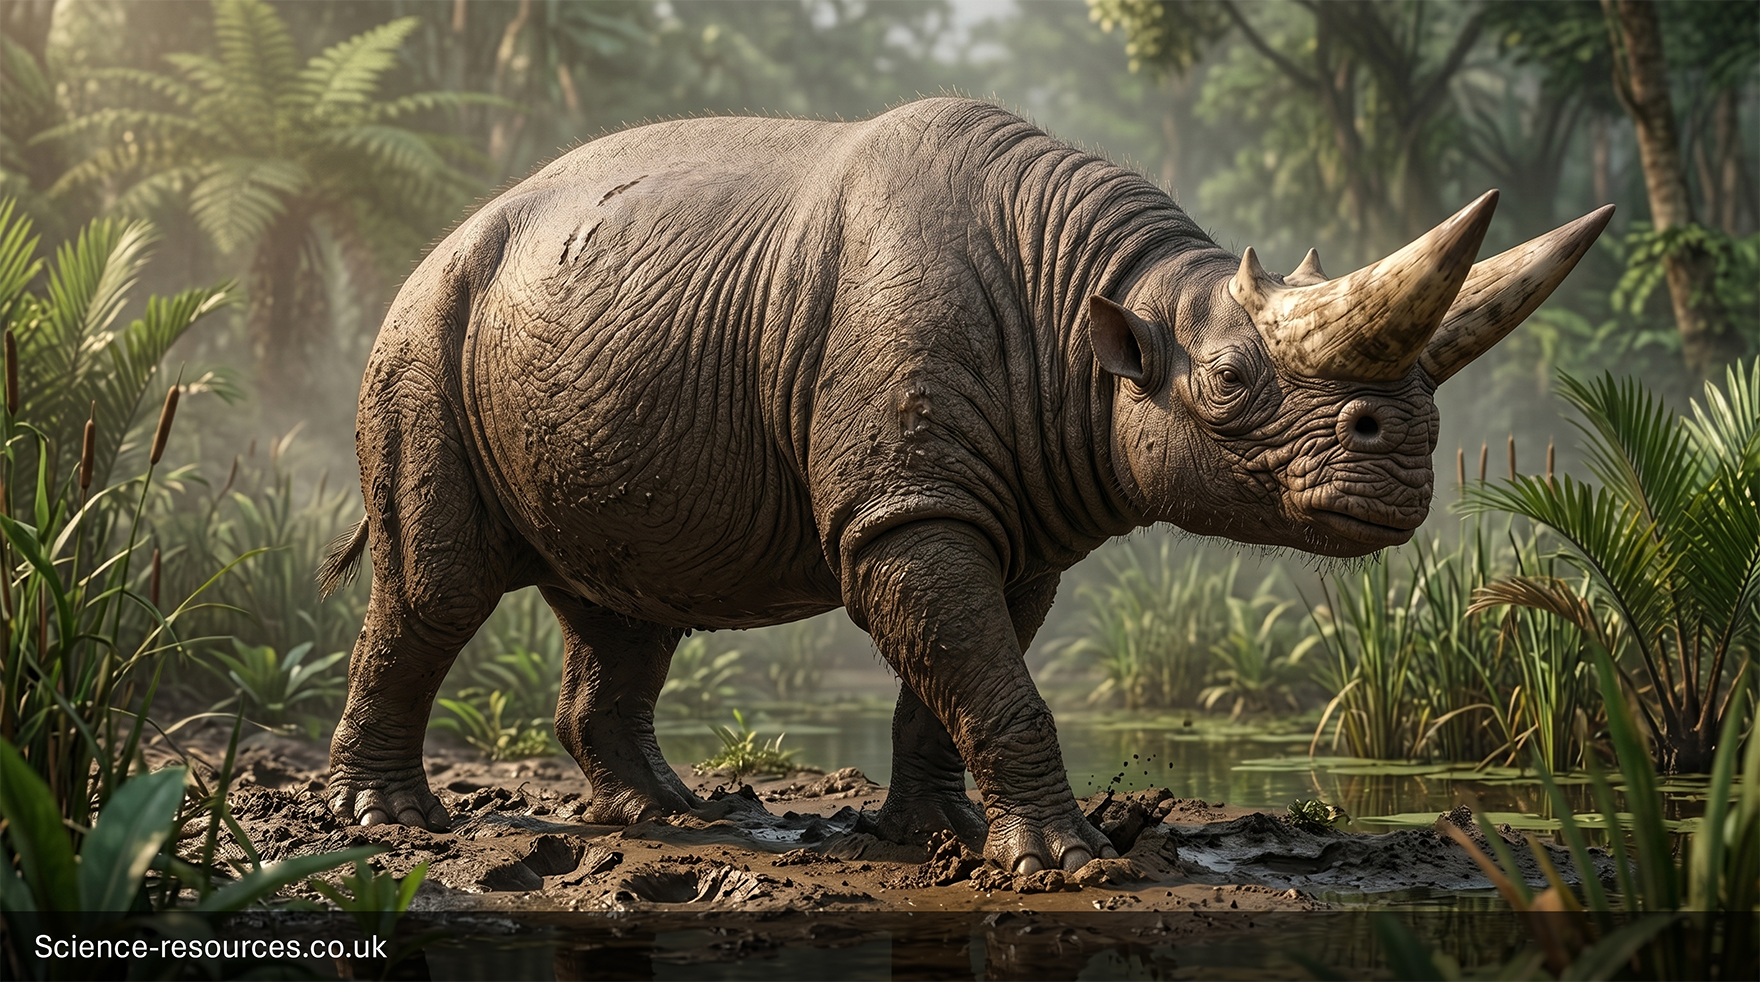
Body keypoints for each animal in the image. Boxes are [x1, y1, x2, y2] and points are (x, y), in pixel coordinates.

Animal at [320, 98, 1610, 873]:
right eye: (1230, 379)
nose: (1405, 457)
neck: (1105, 299)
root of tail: (456, 235)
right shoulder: (907, 507)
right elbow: (988, 673)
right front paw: (1068, 862)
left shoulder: (1016, 517)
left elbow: (959, 671)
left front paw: (935, 832)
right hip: (425, 325)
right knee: (438, 585)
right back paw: (394, 824)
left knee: (629, 603)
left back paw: (673, 817)